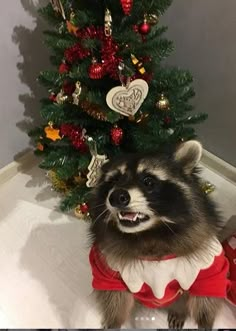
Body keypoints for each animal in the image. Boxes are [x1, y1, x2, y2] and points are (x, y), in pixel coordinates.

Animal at [88, 140, 229, 330]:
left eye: (148, 181)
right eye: (114, 180)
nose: (117, 196)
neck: (150, 233)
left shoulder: (208, 260)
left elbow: (208, 291)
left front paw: (205, 322)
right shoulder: (107, 265)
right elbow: (114, 297)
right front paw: (113, 322)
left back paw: (179, 310)